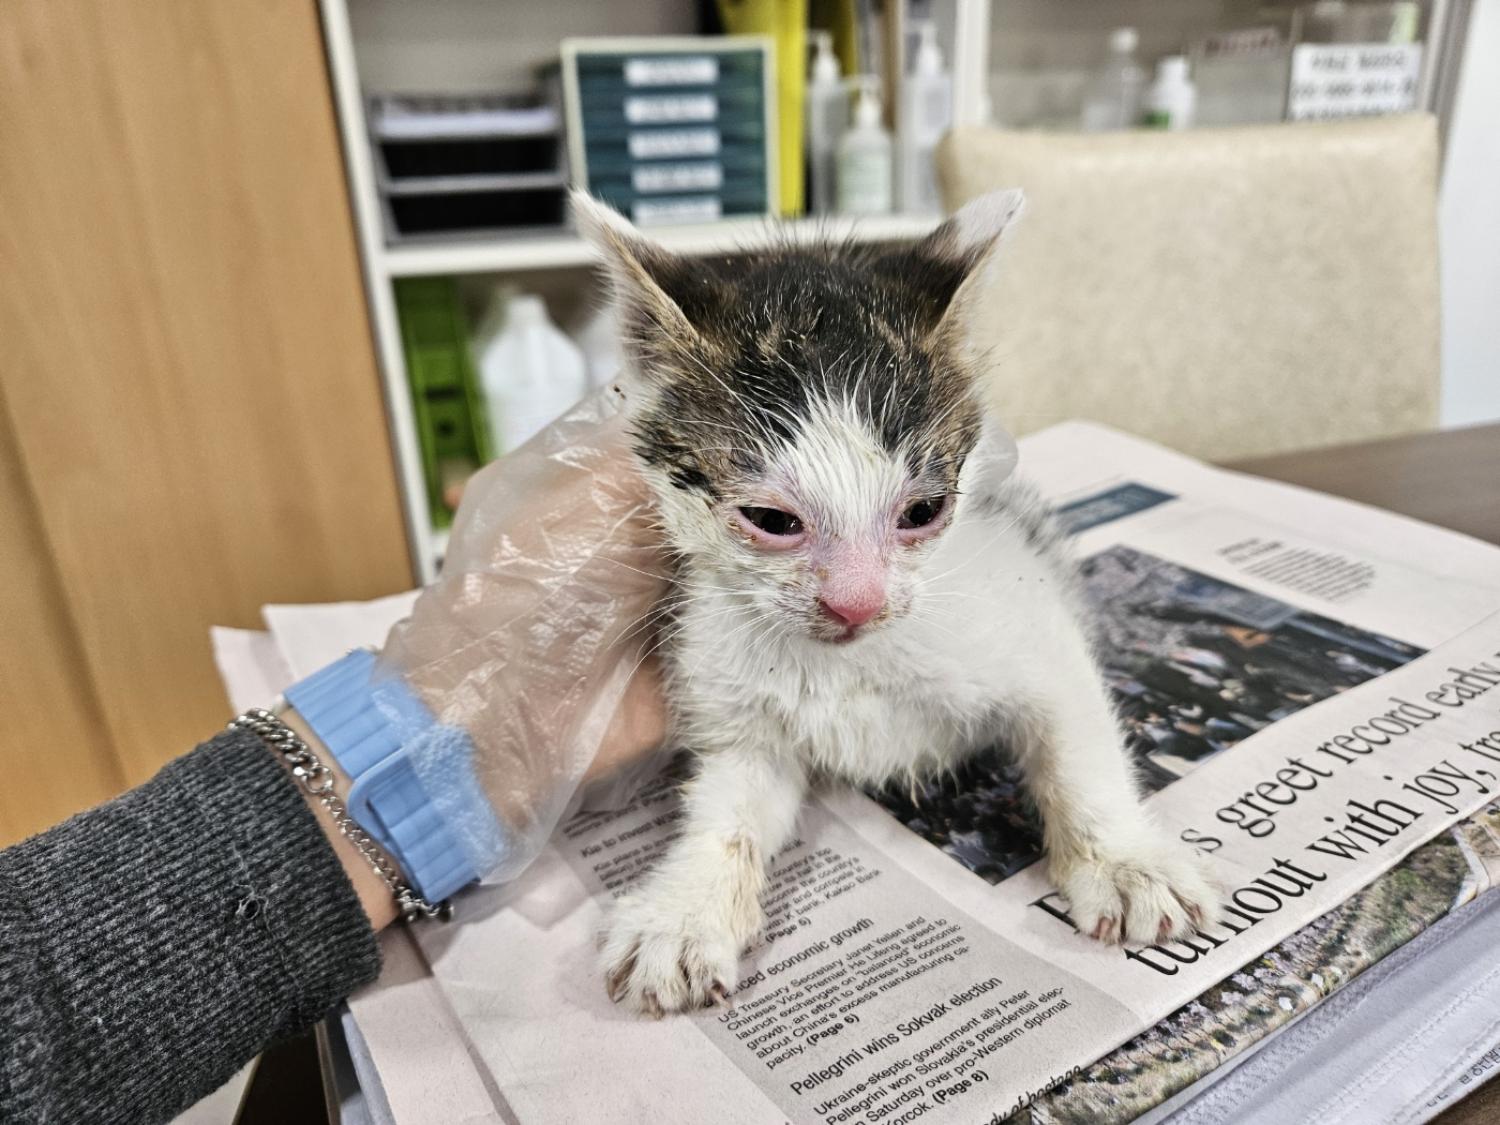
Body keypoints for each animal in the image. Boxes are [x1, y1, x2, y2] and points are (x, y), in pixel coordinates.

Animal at [573, 189, 1218, 1020]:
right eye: (772, 519)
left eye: (923, 510)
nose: (857, 601)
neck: (851, 659)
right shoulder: (727, 690)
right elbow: (729, 803)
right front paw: (685, 910)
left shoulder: (1026, 607)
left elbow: (1076, 734)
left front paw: (1127, 861)